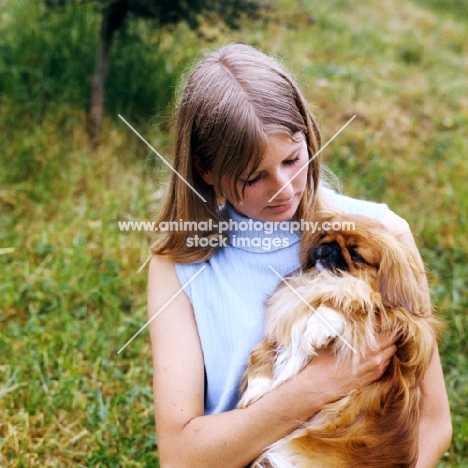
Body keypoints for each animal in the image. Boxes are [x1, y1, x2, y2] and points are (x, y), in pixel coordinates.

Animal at [239, 213, 440, 468]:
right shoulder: (280, 324)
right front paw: (256, 389)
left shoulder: (407, 332)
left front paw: (318, 327)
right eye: (325, 234)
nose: (332, 245)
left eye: (355, 254)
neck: (320, 282)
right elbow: (261, 351)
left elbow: (350, 300)